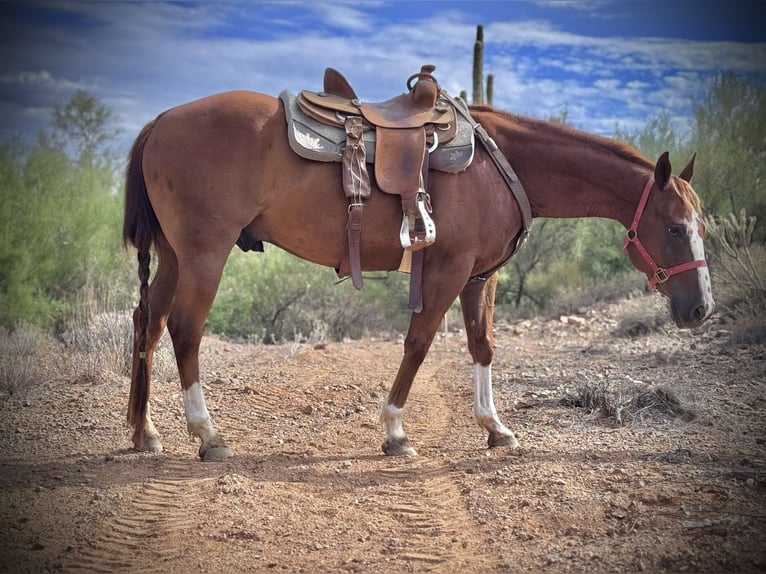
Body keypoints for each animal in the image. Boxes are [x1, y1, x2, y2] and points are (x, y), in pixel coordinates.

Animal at [122, 82, 714, 461]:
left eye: (700, 224)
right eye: (675, 228)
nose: (701, 308)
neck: (504, 164)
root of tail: (160, 122)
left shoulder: (480, 276)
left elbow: (482, 346)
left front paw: (496, 427)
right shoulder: (449, 269)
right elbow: (419, 341)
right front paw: (395, 431)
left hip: (173, 255)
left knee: (148, 324)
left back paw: (145, 432)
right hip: (205, 253)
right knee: (185, 330)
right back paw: (208, 435)